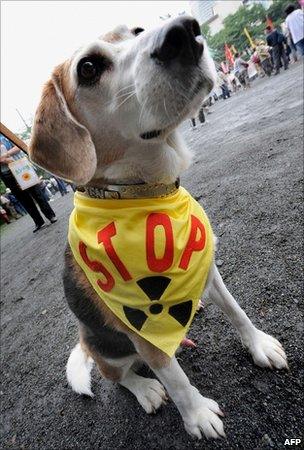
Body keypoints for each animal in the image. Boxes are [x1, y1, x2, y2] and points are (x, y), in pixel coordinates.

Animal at [28, 17, 288, 440]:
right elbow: (176, 378)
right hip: (110, 353)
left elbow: (236, 311)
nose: (183, 32)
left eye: (137, 30)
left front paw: (259, 345)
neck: (145, 194)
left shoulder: (210, 269)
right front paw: (197, 415)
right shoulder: (140, 328)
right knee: (118, 377)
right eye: (88, 68)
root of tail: (84, 342)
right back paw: (146, 388)